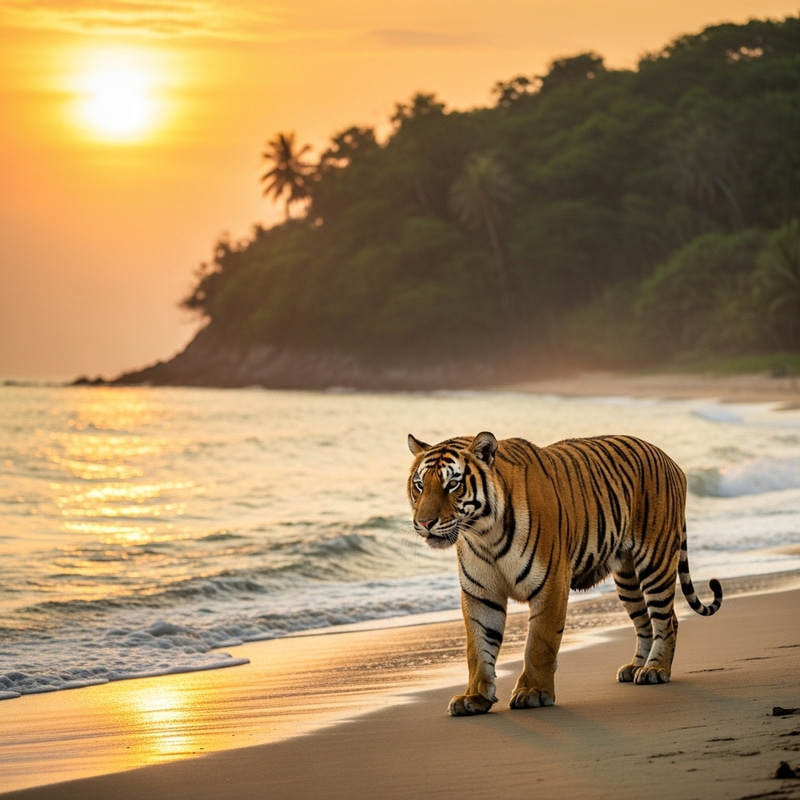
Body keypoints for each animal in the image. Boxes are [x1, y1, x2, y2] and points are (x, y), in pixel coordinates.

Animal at [407, 431, 722, 716]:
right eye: (420, 485)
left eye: (453, 484)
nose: (424, 522)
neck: (484, 533)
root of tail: (670, 460)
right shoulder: (480, 593)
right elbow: (478, 647)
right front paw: (474, 697)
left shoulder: (550, 583)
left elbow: (539, 643)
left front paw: (533, 692)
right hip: (627, 578)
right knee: (646, 622)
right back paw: (636, 667)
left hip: (655, 563)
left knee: (667, 621)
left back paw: (655, 669)